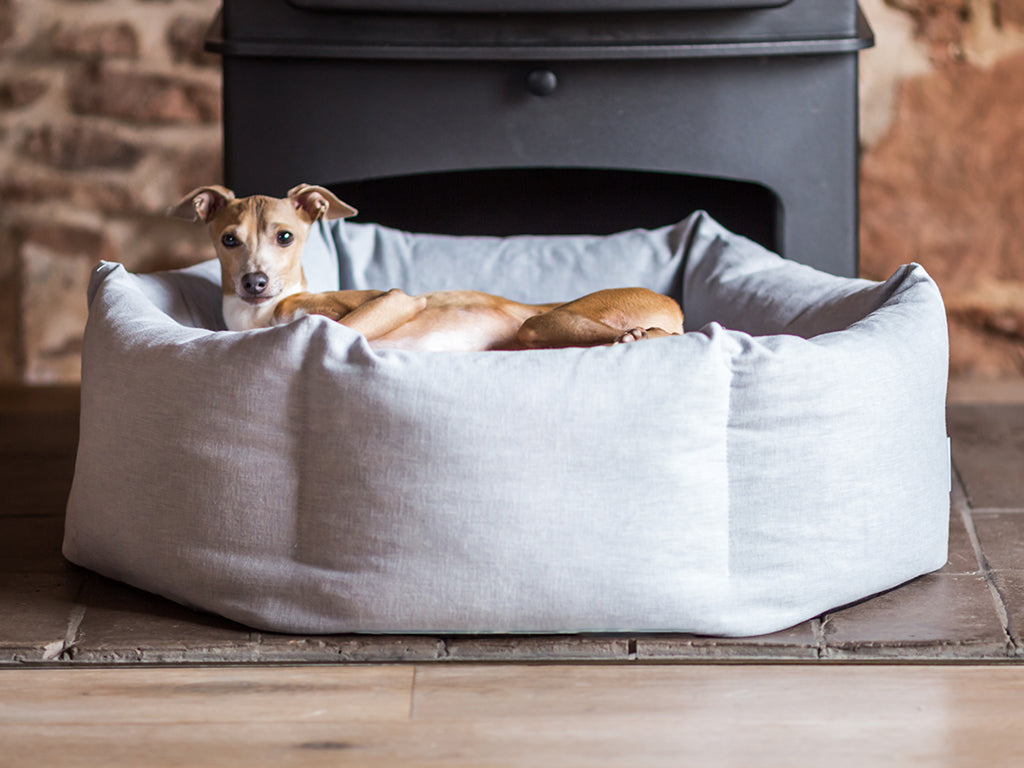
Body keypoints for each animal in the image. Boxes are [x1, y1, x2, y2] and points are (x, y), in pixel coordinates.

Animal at [167, 185, 684, 354]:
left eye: (285, 236)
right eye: (228, 240)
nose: (255, 282)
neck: (258, 317)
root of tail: (673, 306)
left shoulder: (395, 300)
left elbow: (344, 327)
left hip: (541, 322)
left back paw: (637, 336)